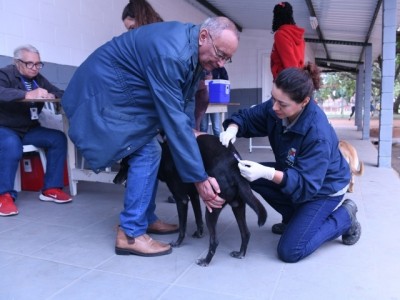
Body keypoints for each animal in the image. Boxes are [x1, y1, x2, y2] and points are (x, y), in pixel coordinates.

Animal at [158, 135, 268, 266]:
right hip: (237, 206)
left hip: (212, 209)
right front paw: (199, 233)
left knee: (214, 241)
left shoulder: (181, 199)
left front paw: (178, 242)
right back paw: (240, 253)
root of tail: (234, 169)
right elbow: (198, 217)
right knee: (245, 233)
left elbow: (182, 227)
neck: (165, 153)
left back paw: (205, 261)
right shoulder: (195, 195)